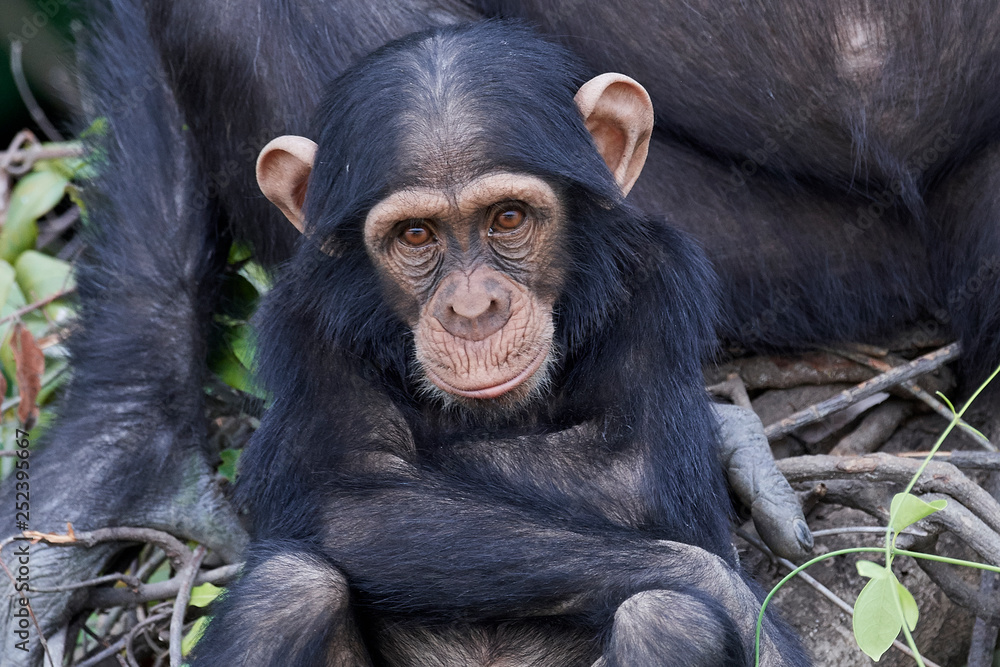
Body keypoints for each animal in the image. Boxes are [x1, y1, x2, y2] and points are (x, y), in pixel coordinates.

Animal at [189, 20, 804, 667]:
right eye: (415, 234)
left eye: (508, 218)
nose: (471, 309)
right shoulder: (305, 323)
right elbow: (352, 499)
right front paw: (728, 587)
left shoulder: (657, 284)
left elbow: (631, 471)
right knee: (291, 585)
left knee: (669, 620)